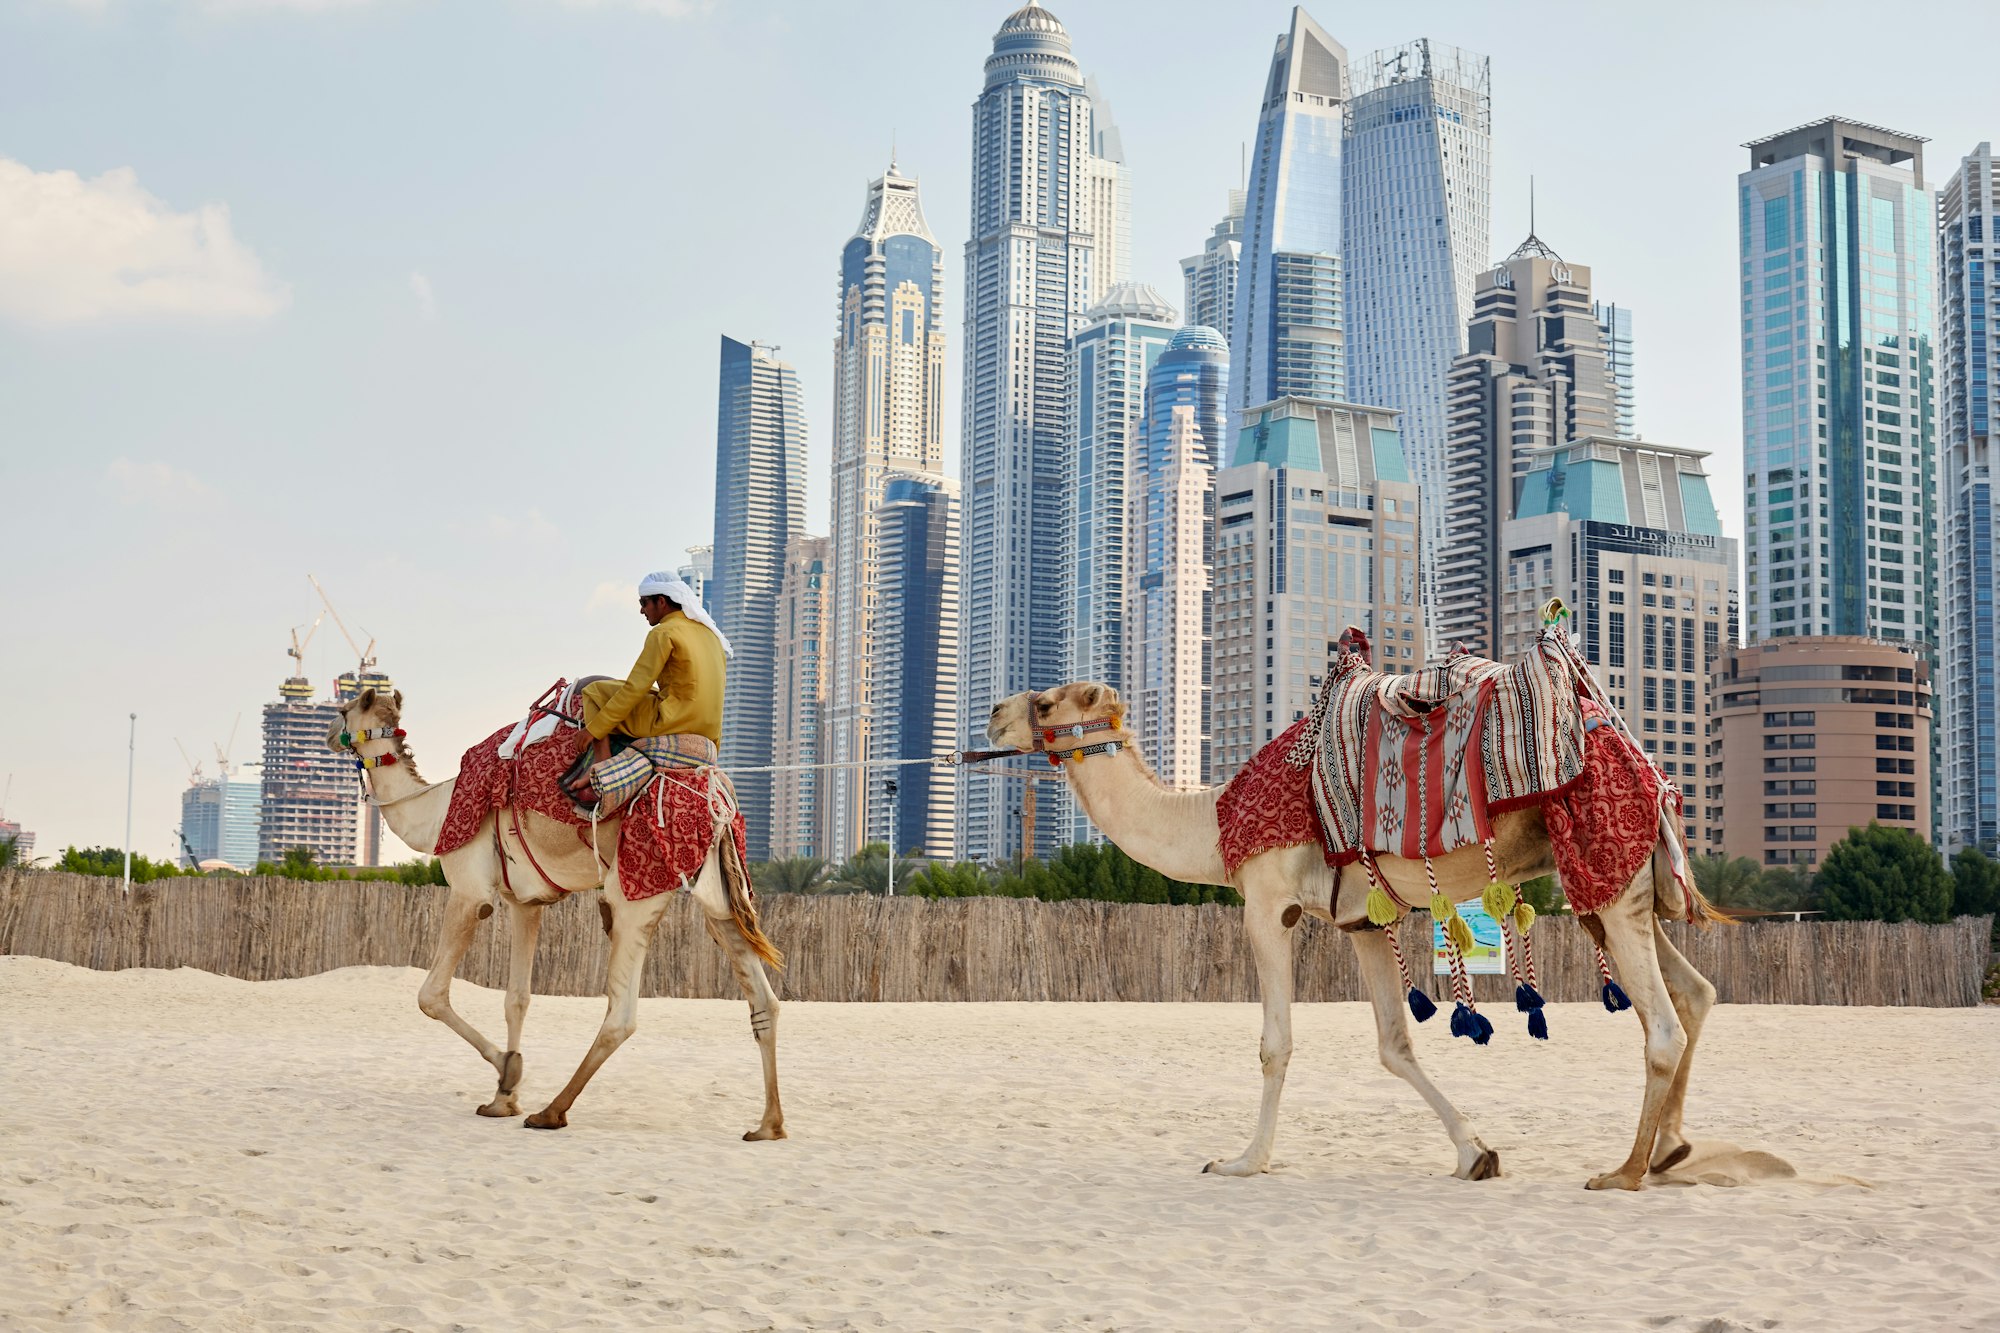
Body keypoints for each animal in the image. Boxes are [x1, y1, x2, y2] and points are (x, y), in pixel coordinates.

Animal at [324, 688, 784, 1136]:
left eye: (344, 708)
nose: (328, 734)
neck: (435, 813)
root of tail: (718, 800)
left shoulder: (470, 893)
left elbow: (431, 995)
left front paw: (507, 1071)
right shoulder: (524, 903)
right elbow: (517, 998)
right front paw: (502, 1098)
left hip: (634, 890)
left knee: (621, 1015)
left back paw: (551, 1112)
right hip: (720, 896)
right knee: (764, 999)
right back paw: (769, 1125)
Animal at [984, 680, 1720, 1184]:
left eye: (1045, 704)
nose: (993, 712)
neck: (1212, 821)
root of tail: (1648, 768)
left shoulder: (1267, 903)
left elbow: (1275, 1044)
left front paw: (1243, 1160)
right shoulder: (1364, 918)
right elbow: (1395, 1044)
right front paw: (1475, 1152)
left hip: (1603, 867)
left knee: (1662, 1024)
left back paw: (1624, 1170)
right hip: (1622, 886)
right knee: (1696, 992)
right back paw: (1672, 1150)